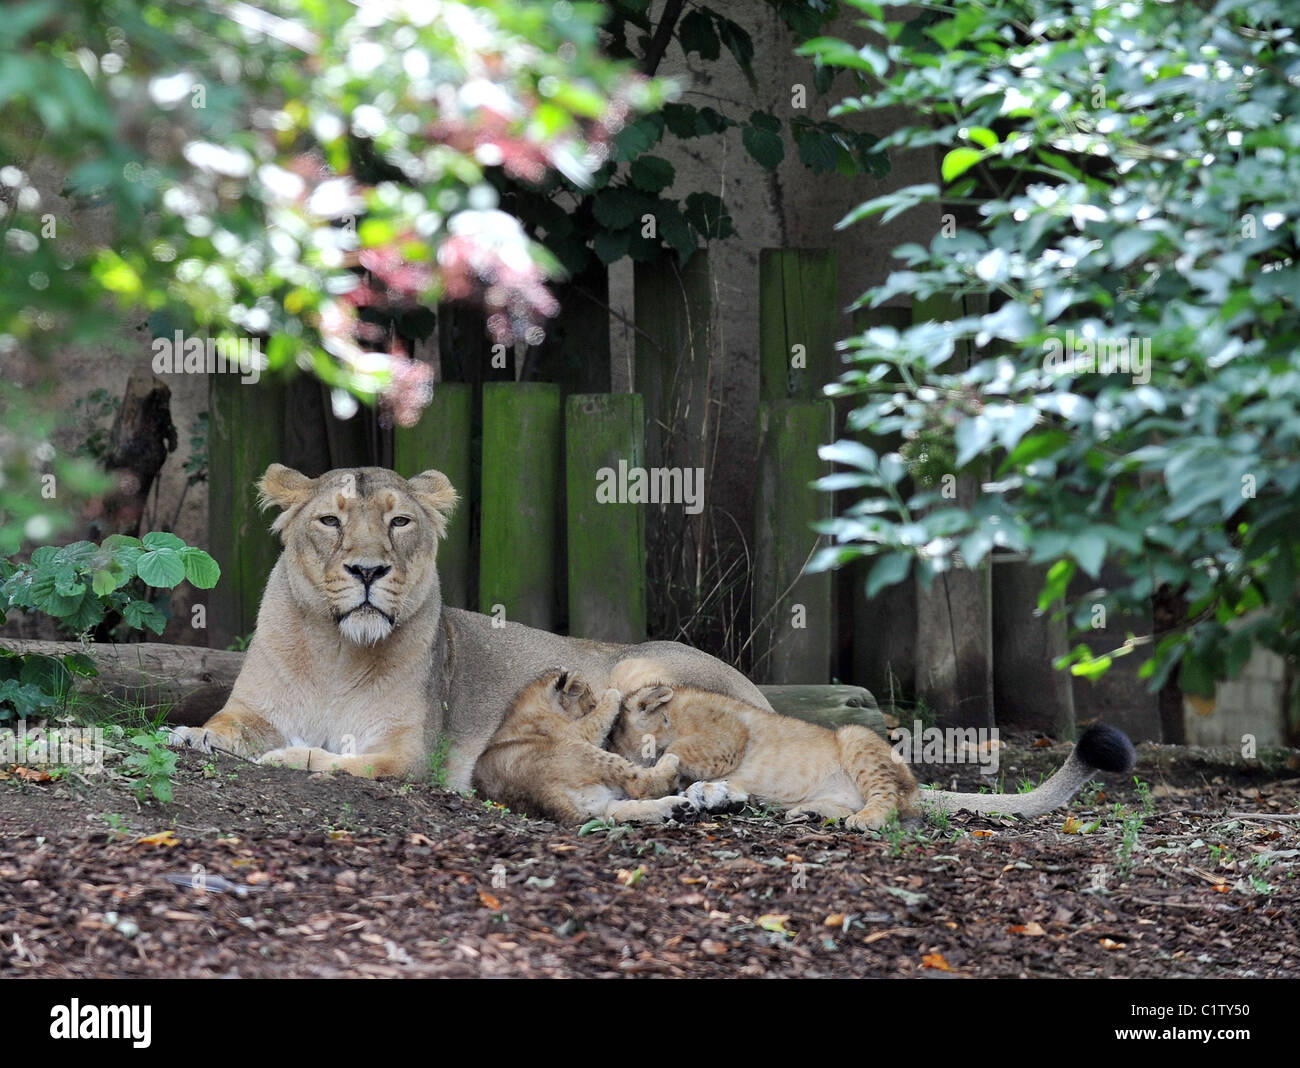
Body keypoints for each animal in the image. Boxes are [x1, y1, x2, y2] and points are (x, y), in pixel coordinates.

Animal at [169, 464, 775, 788]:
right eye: (330, 521)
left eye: (399, 521)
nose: (368, 570)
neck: (335, 652)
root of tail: (760, 695)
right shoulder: (256, 711)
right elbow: (225, 726)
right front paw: (191, 735)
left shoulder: (409, 752)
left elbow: (335, 760)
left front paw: (287, 757)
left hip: (637, 667)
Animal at [471, 668, 690, 824]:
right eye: (591, 705)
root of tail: (544, 793)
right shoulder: (579, 732)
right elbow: (598, 717)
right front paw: (612, 693)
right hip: (586, 752)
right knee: (641, 785)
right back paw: (670, 764)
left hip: (599, 803)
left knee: (623, 811)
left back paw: (678, 807)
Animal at [605, 658, 1137, 830]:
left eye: (617, 735)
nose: (612, 755)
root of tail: (919, 785)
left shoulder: (727, 736)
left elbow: (682, 754)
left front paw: (666, 775)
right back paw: (809, 813)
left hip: (858, 738)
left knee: (892, 802)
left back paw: (866, 820)